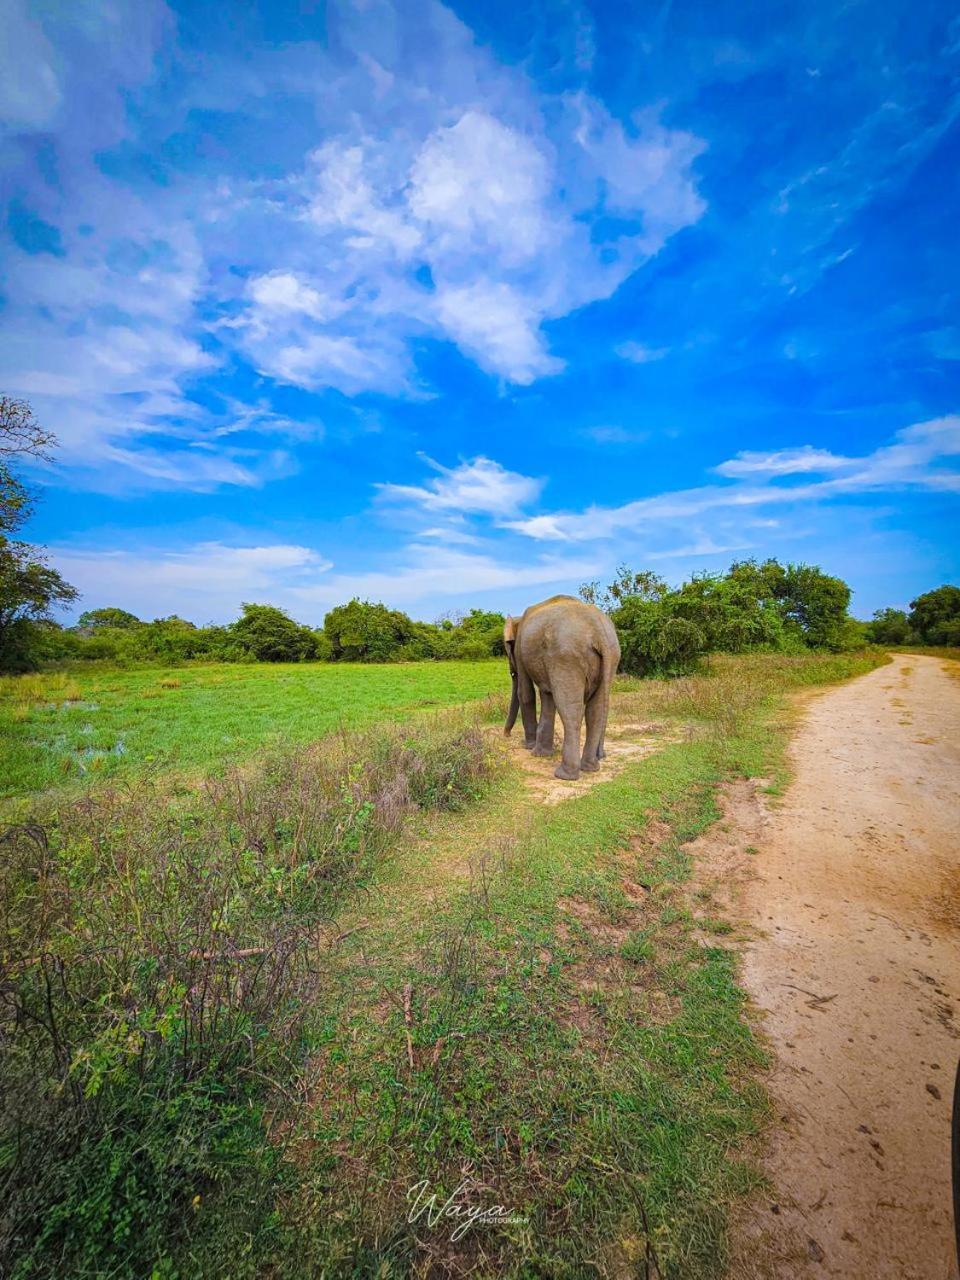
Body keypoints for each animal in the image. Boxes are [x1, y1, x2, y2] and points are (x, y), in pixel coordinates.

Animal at [504, 591, 624, 778]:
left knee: (570, 708)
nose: (506, 735)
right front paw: (540, 753)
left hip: (566, 657)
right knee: (596, 710)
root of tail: (598, 630)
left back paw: (565, 775)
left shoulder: (520, 651)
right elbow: (547, 695)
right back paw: (591, 767)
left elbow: (525, 693)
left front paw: (529, 747)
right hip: (612, 656)